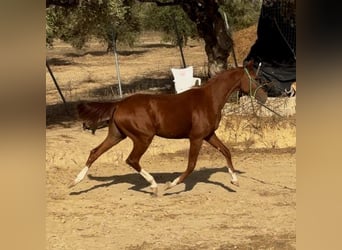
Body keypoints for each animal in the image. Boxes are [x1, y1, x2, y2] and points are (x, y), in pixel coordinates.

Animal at [69, 60, 268, 195]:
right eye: (255, 78)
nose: (265, 97)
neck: (209, 99)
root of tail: (119, 104)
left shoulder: (209, 134)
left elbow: (226, 151)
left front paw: (234, 180)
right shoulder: (196, 137)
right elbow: (191, 165)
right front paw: (171, 185)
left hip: (116, 135)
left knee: (95, 152)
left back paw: (75, 182)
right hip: (143, 138)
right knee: (132, 160)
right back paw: (154, 185)